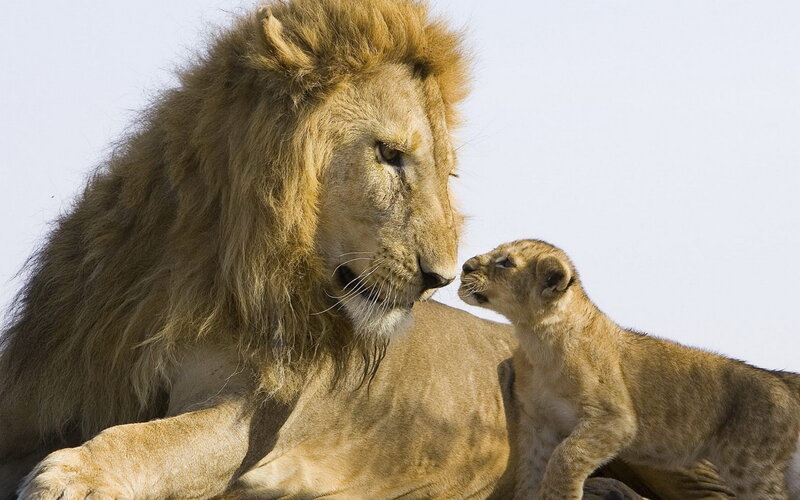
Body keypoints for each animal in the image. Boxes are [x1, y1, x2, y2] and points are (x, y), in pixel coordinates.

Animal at [1, 0, 734, 498]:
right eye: (389, 155)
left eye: (448, 174)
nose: (441, 277)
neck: (207, 267)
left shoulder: (251, 417)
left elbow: (158, 440)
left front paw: (73, 474)